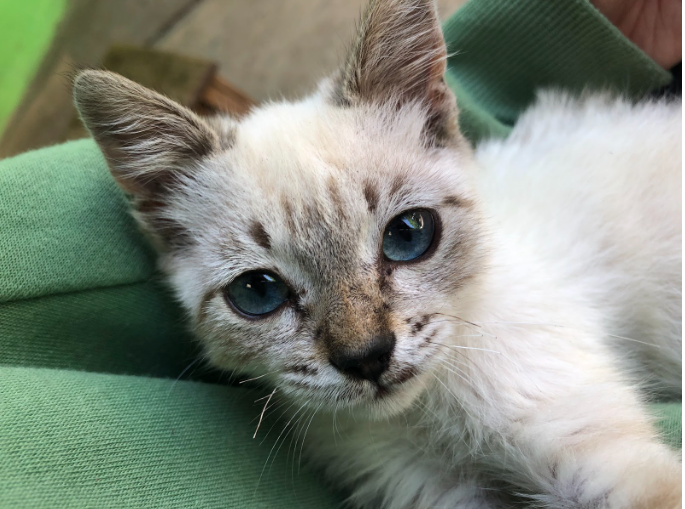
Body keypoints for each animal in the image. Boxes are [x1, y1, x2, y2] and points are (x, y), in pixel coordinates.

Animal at [72, 0, 680, 506]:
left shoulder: (592, 453)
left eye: (408, 235)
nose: (367, 358)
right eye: (258, 292)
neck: (428, 415)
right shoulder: (422, 487)